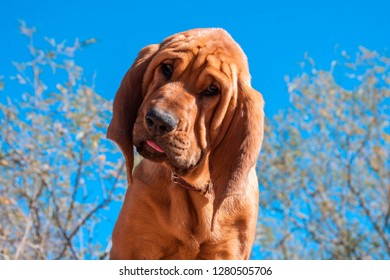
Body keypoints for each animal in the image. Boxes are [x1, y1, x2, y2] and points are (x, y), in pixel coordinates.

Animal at [108, 28, 264, 260]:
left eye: (212, 89)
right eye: (167, 68)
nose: (158, 121)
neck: (193, 187)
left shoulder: (227, 252)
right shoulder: (133, 245)